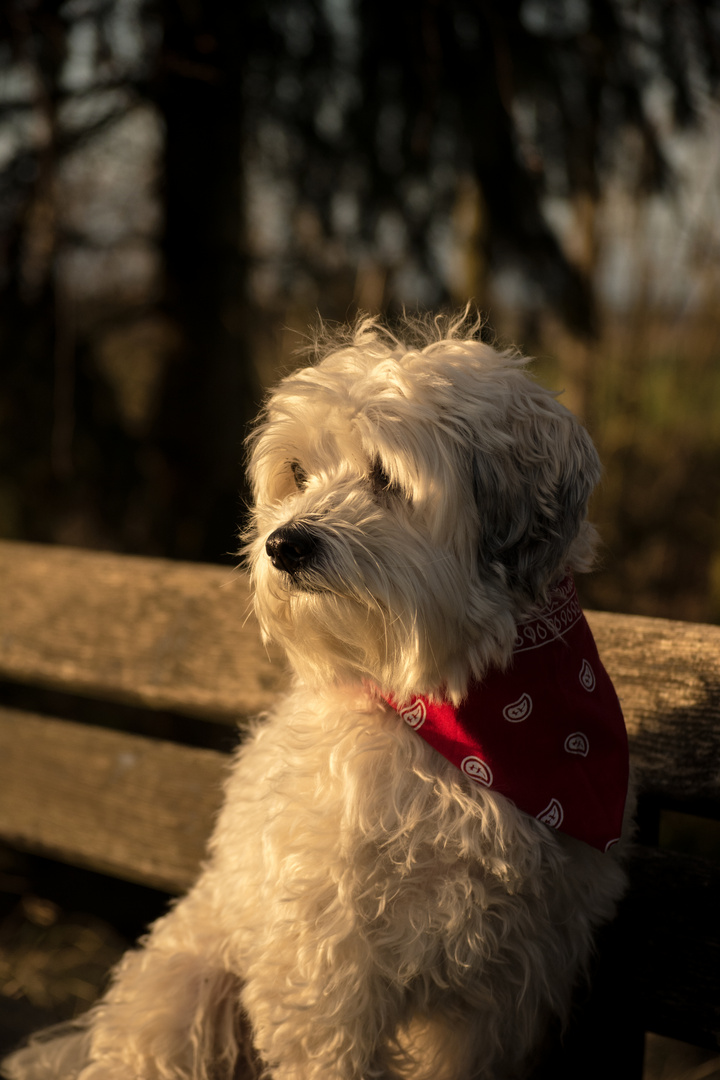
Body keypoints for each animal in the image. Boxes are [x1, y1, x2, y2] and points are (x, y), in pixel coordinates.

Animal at [8, 313, 634, 1080]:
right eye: (297, 474)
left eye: (385, 476)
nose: (283, 544)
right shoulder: (324, 967)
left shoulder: (500, 986)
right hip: (182, 993)